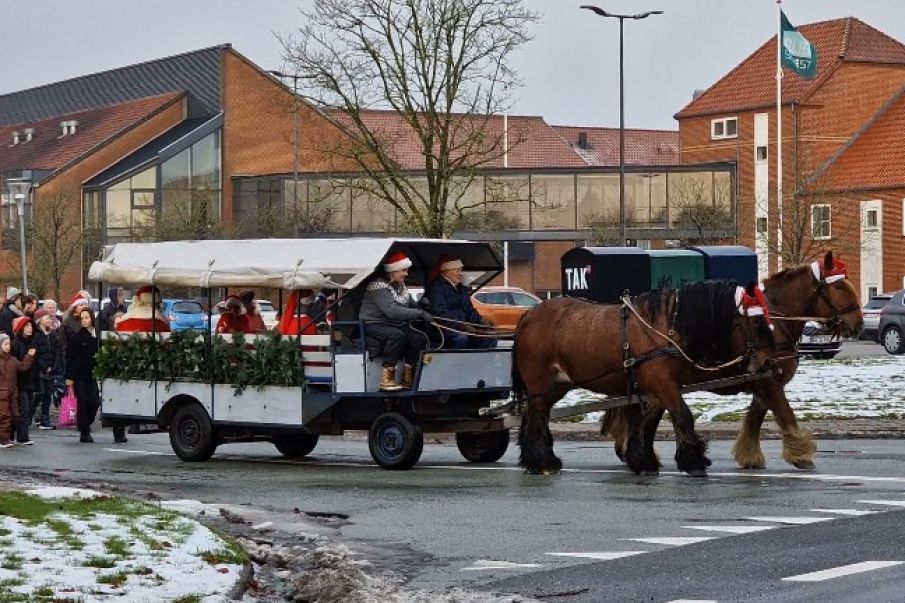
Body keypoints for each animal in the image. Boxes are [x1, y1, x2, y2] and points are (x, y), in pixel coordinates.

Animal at [512, 282, 772, 476]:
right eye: (756, 321)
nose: (767, 361)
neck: (667, 327)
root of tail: (529, 315)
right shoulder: (663, 384)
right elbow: (683, 417)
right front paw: (694, 461)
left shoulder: (661, 387)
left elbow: (648, 422)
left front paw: (643, 460)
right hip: (540, 384)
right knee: (536, 418)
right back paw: (540, 462)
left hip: (555, 386)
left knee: (538, 416)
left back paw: (539, 458)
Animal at [604, 250, 860, 472]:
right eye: (839, 286)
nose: (857, 322)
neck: (773, 322)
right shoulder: (768, 381)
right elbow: (784, 413)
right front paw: (801, 454)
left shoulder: (763, 379)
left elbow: (756, 417)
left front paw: (750, 455)